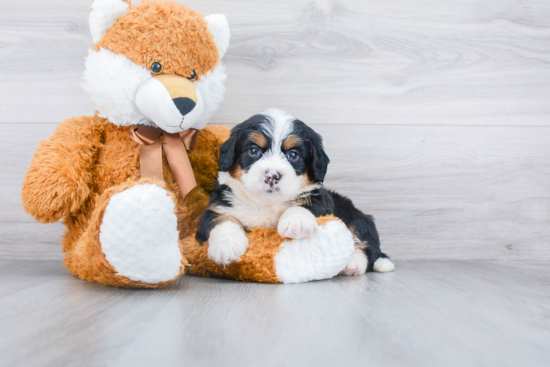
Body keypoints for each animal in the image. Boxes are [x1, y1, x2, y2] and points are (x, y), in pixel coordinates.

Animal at [196, 109, 394, 276]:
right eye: (254, 151)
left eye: (293, 155)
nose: (272, 175)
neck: (266, 203)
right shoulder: (217, 206)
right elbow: (221, 219)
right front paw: (226, 246)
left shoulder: (321, 201)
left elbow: (303, 205)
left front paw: (296, 222)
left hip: (356, 215)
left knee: (367, 247)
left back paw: (354, 263)